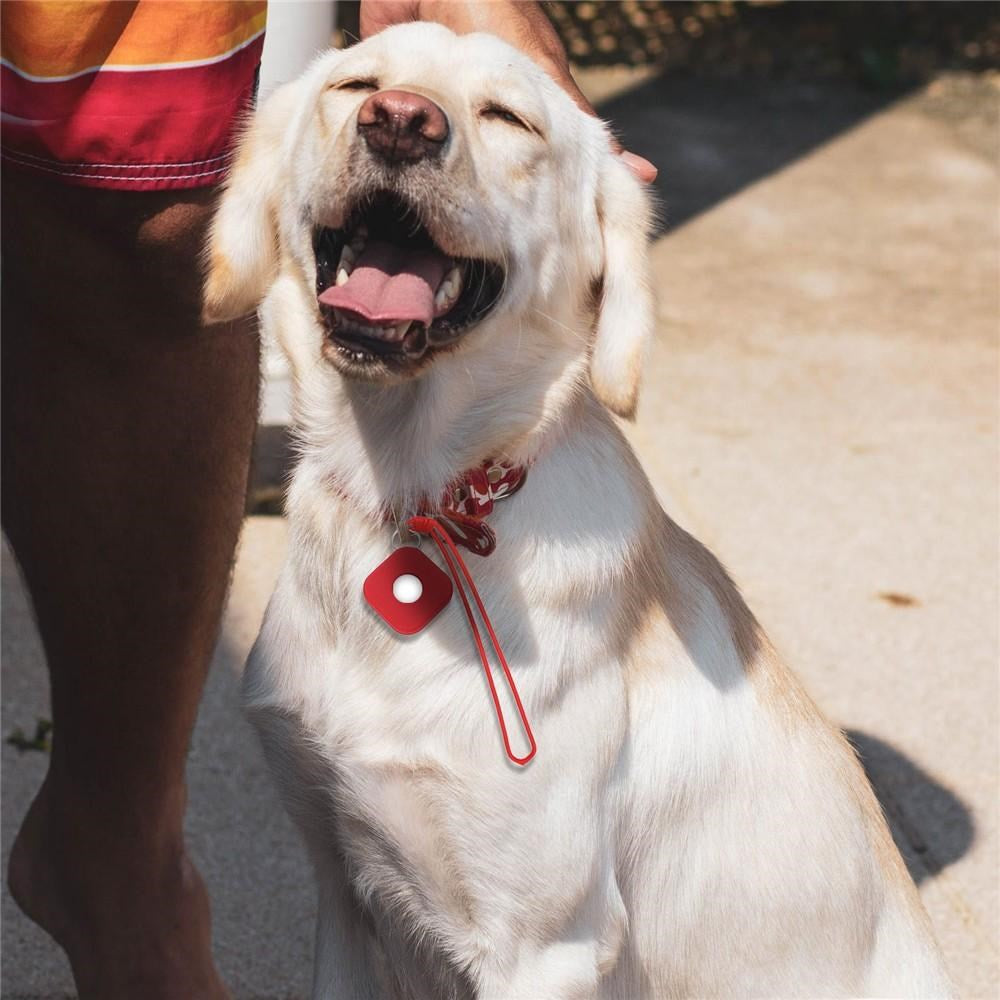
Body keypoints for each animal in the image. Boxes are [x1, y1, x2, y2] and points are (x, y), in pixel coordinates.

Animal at [203, 21, 952, 1000]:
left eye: (506, 117)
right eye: (355, 84)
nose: (399, 122)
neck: (409, 498)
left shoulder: (543, 944)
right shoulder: (342, 889)